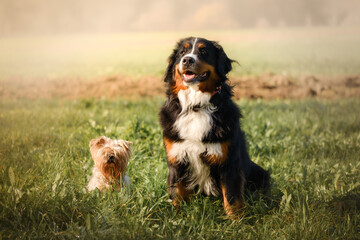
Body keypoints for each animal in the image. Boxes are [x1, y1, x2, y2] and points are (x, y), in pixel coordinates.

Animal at [159, 37, 268, 216]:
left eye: (203, 51)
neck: (196, 106)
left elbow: (231, 198)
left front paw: (237, 221)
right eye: (182, 52)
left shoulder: (228, 162)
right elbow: (177, 194)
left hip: (261, 173)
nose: (187, 59)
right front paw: (177, 217)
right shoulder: (177, 159)